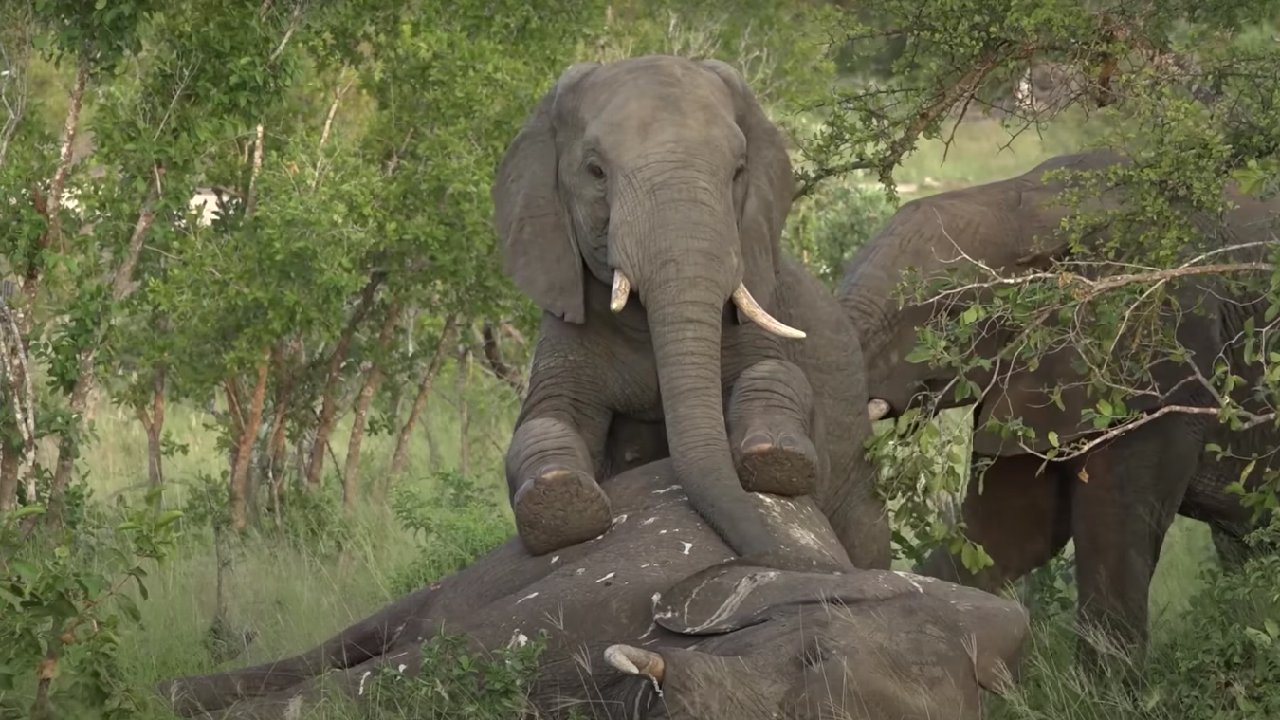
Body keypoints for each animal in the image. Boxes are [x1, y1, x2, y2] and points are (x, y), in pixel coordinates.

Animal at [493, 54, 889, 570]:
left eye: (738, 171)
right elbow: (545, 419)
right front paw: (558, 502)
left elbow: (777, 373)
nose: (767, 557)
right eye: (595, 171)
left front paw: (776, 458)